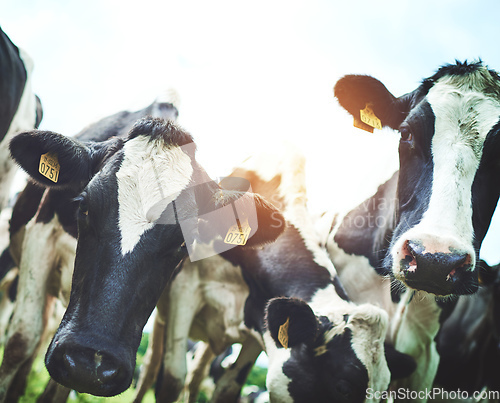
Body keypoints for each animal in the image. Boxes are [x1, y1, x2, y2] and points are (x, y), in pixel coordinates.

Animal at [133, 148, 414, 403]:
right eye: (344, 387)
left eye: (383, 392)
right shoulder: (186, 288)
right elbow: (171, 380)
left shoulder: (259, 320)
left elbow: (227, 389)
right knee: (151, 371)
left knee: (195, 377)